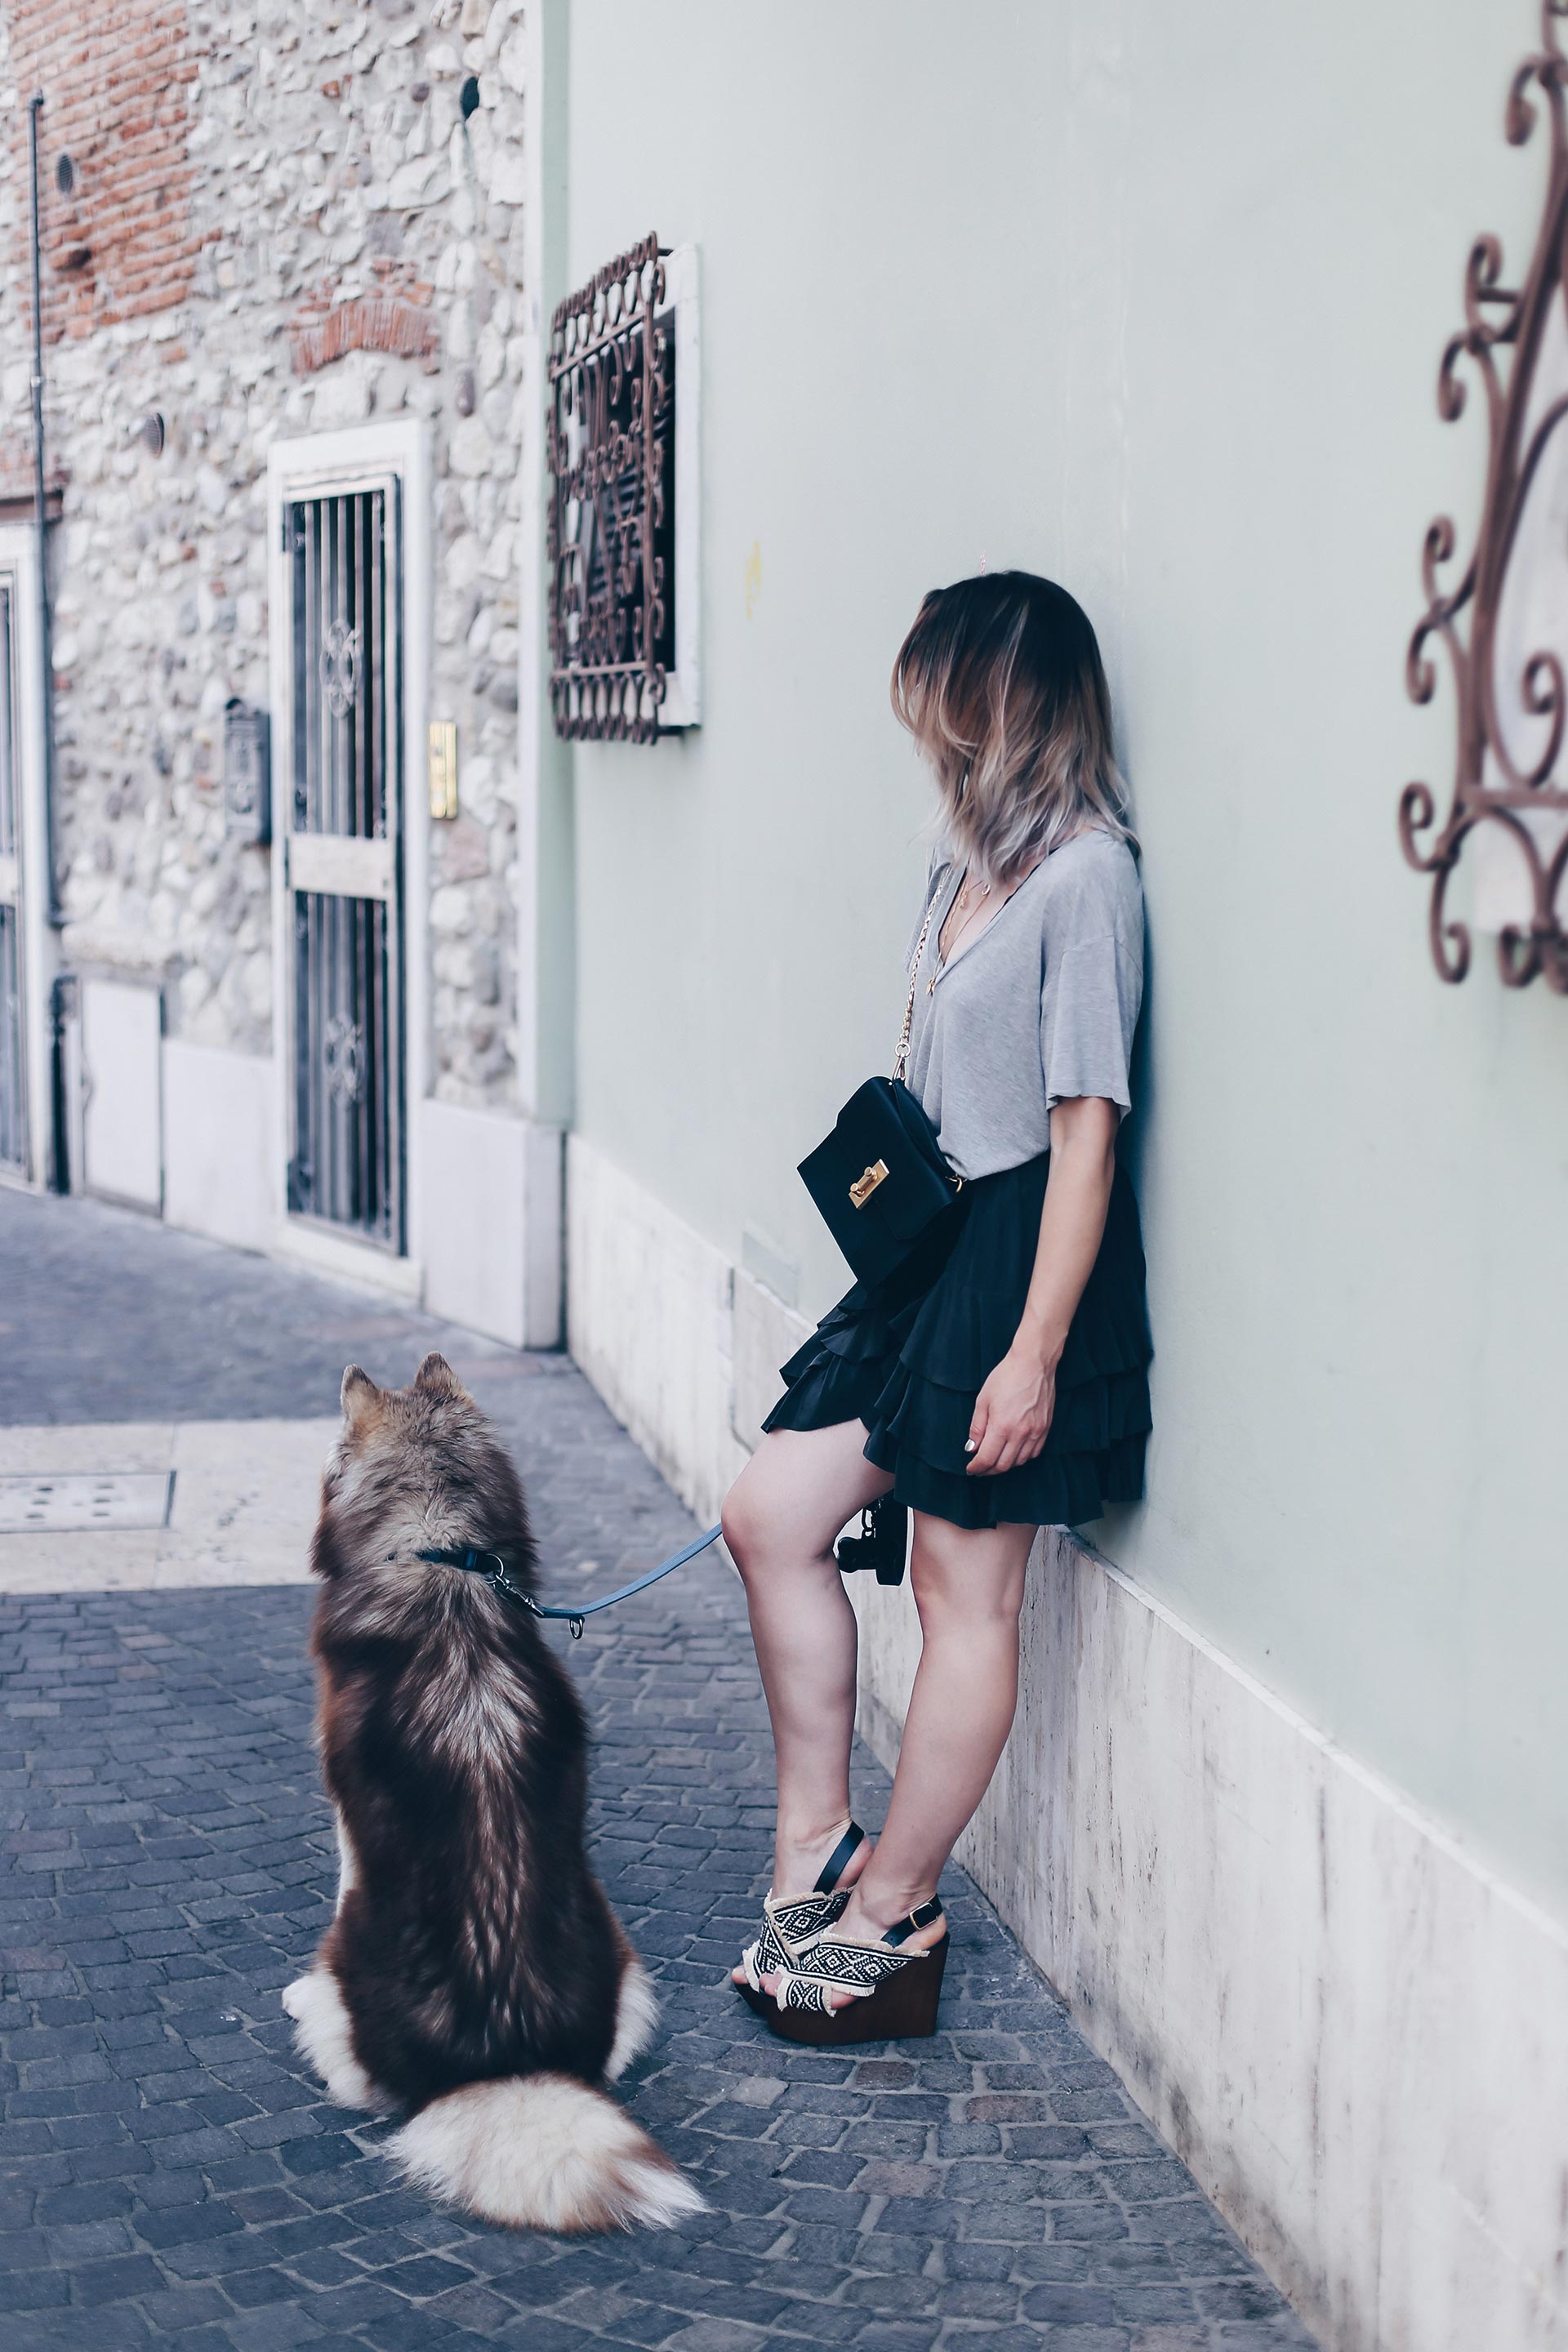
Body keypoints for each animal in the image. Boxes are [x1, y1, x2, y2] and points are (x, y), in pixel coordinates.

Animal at [283, 1354, 705, 2230]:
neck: (440, 1553)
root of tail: (504, 2065)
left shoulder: (346, 1824)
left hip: (350, 1955)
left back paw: (306, 2000)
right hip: (623, 1955)